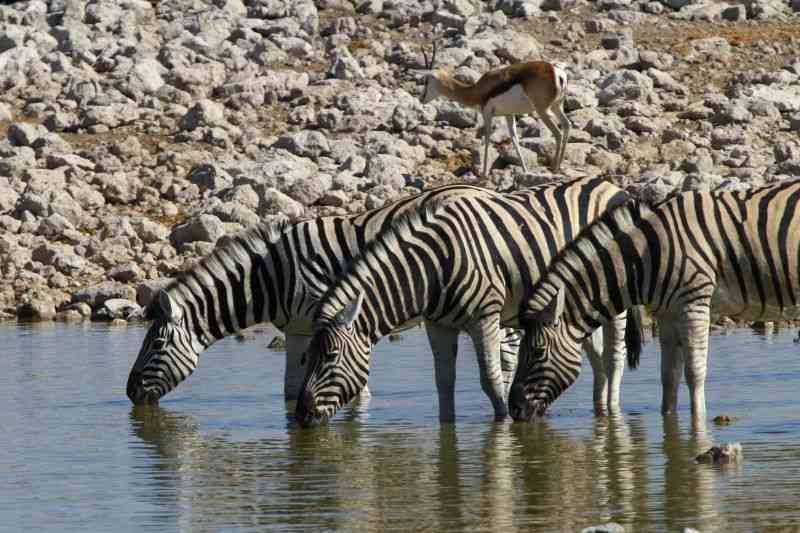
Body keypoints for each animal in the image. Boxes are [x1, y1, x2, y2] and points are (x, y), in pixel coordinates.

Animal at [126, 184, 563, 414]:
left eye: (156, 345)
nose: (130, 393)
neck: (273, 275)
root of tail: (485, 191)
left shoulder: (336, 321)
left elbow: (355, 388)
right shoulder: (299, 331)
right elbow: (290, 388)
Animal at [295, 175, 636, 426]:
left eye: (330, 356)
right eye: (306, 356)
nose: (300, 416)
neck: (431, 267)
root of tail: (609, 185)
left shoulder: (484, 317)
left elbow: (491, 379)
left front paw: (502, 424)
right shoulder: (438, 324)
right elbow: (444, 381)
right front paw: (447, 428)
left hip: (613, 297)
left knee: (613, 356)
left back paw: (613, 412)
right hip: (578, 304)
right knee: (596, 357)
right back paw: (599, 410)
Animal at [509, 179, 800, 422]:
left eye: (537, 352)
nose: (514, 409)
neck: (646, 257)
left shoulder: (695, 301)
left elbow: (694, 372)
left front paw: (698, 426)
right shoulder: (668, 313)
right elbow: (668, 376)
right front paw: (668, 423)